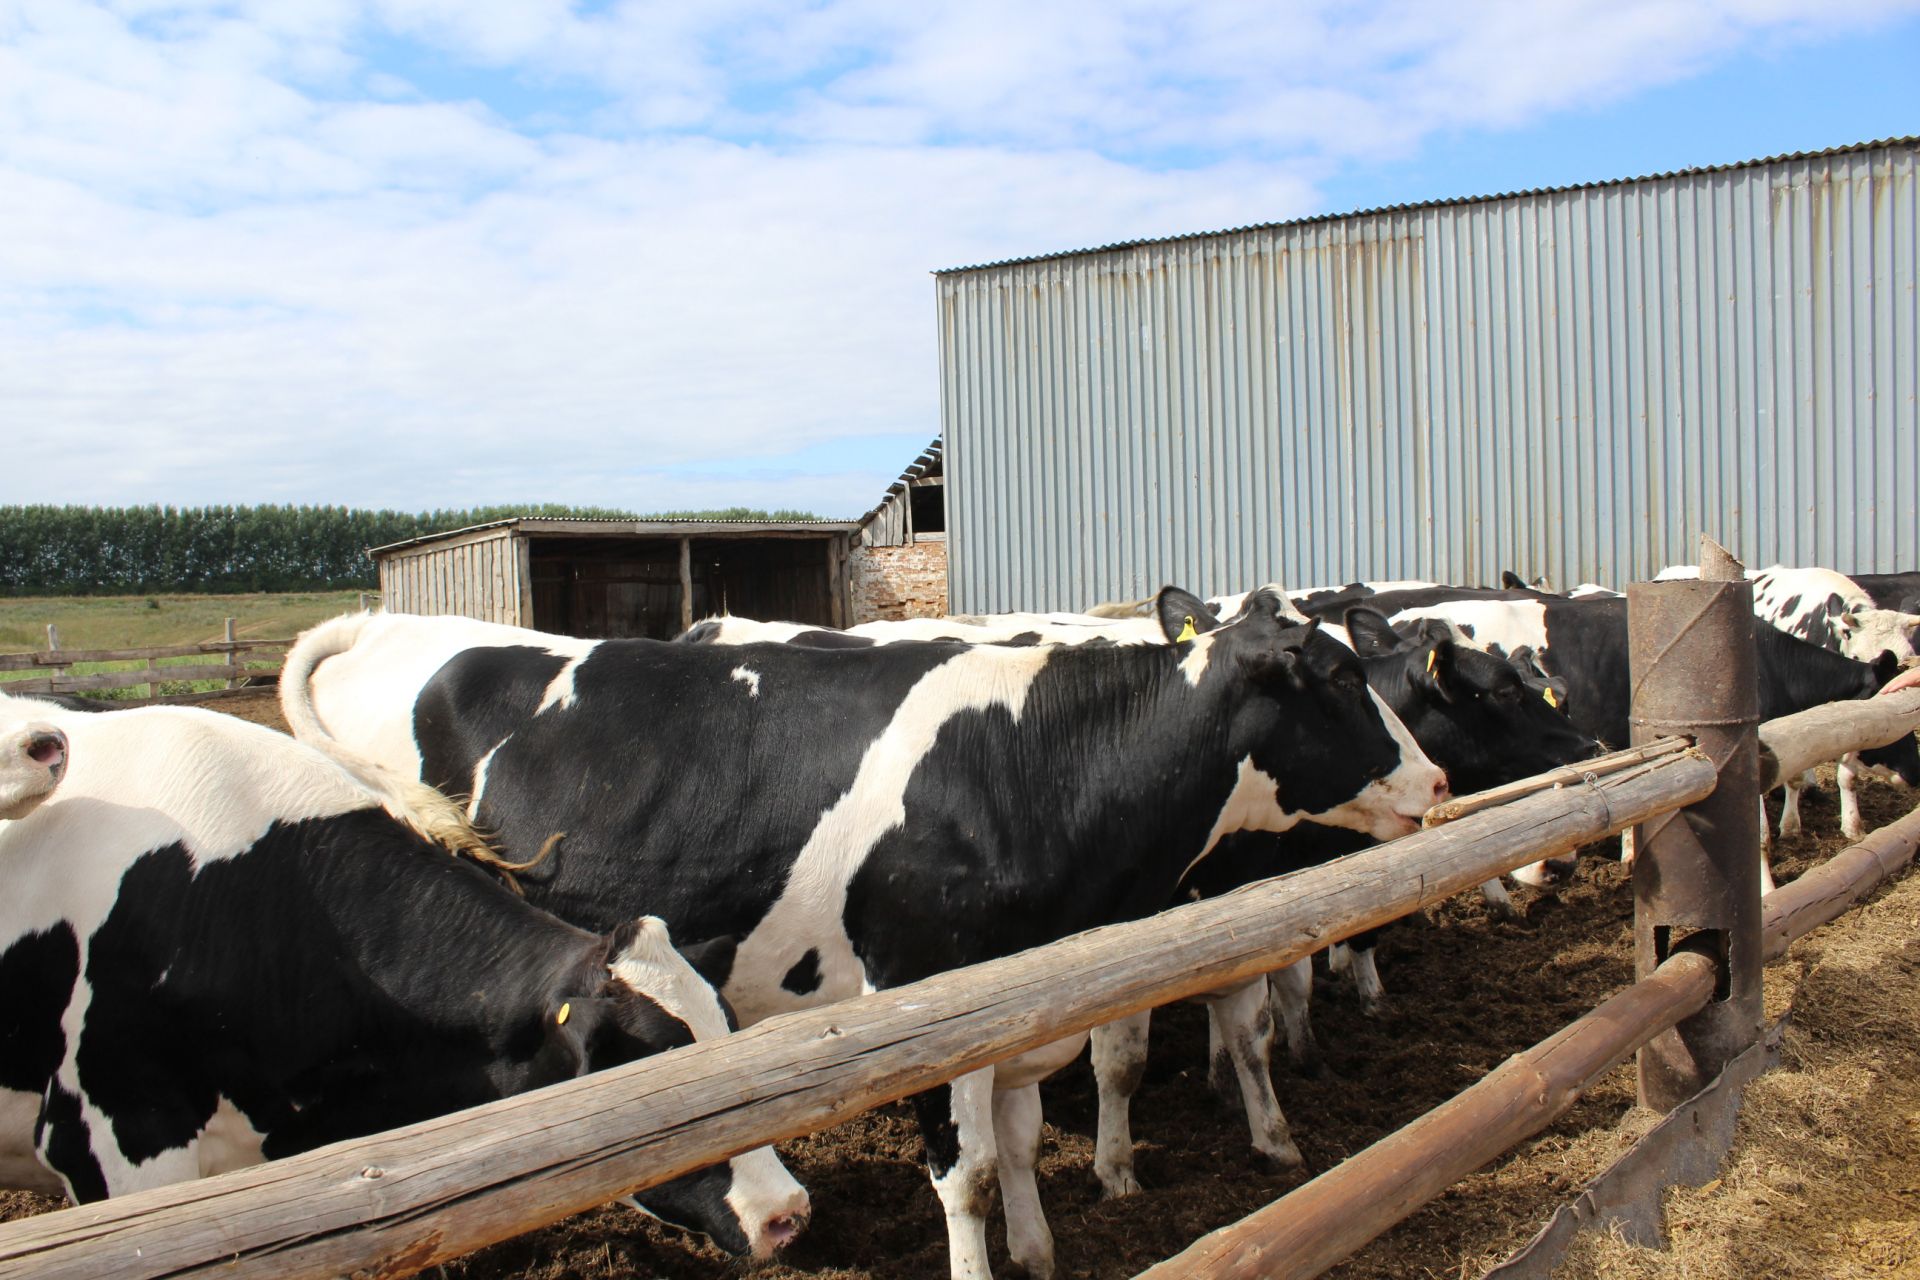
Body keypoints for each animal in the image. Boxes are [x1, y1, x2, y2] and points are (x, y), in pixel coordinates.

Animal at [278, 594, 1436, 1274]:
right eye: (1339, 678)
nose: (1434, 779)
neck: (1027, 761)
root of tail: (387, 623)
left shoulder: (1028, 1000)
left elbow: (1019, 1142)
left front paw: (1038, 1251)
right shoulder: (923, 992)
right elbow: (966, 1171)